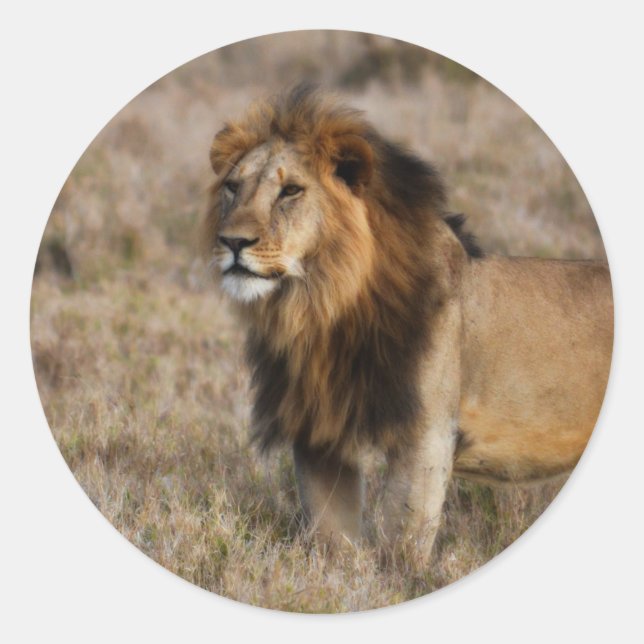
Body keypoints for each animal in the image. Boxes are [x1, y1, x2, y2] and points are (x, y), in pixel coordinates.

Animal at [202, 85, 613, 564]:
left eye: (290, 191)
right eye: (232, 187)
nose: (232, 242)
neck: (321, 308)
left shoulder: (426, 434)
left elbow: (402, 536)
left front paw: (402, 577)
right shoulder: (319, 431)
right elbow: (330, 537)